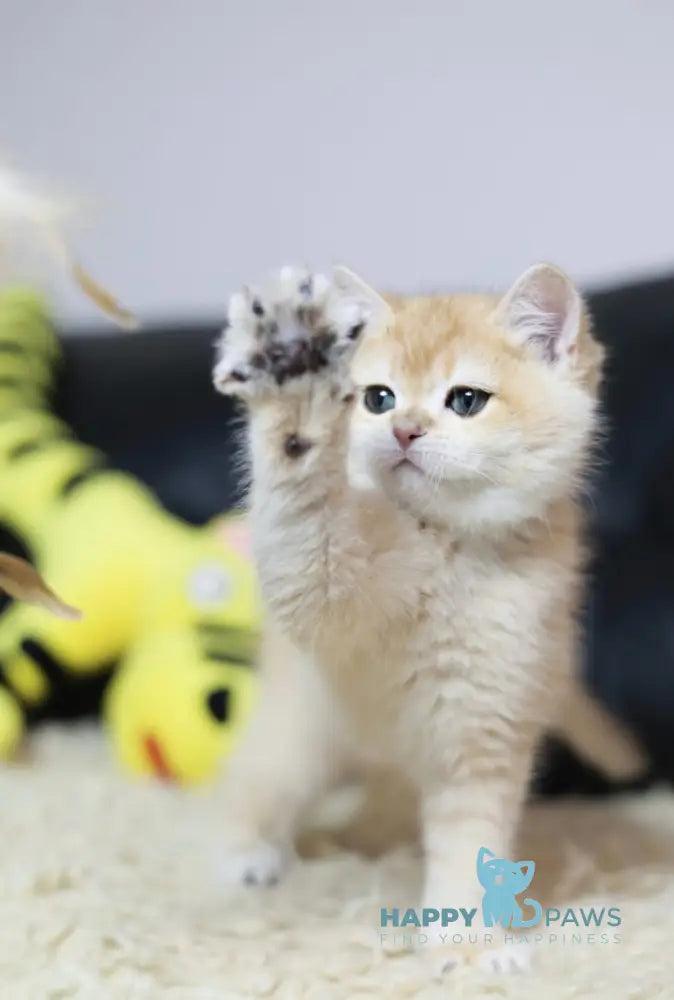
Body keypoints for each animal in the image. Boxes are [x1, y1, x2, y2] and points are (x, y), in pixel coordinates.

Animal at [214, 264, 640, 968]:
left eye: (465, 401)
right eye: (376, 398)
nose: (404, 431)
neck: (445, 546)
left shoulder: (486, 729)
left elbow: (473, 844)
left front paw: (467, 942)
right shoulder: (323, 583)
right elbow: (308, 522)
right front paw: (296, 385)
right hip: (302, 730)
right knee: (261, 778)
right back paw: (248, 852)